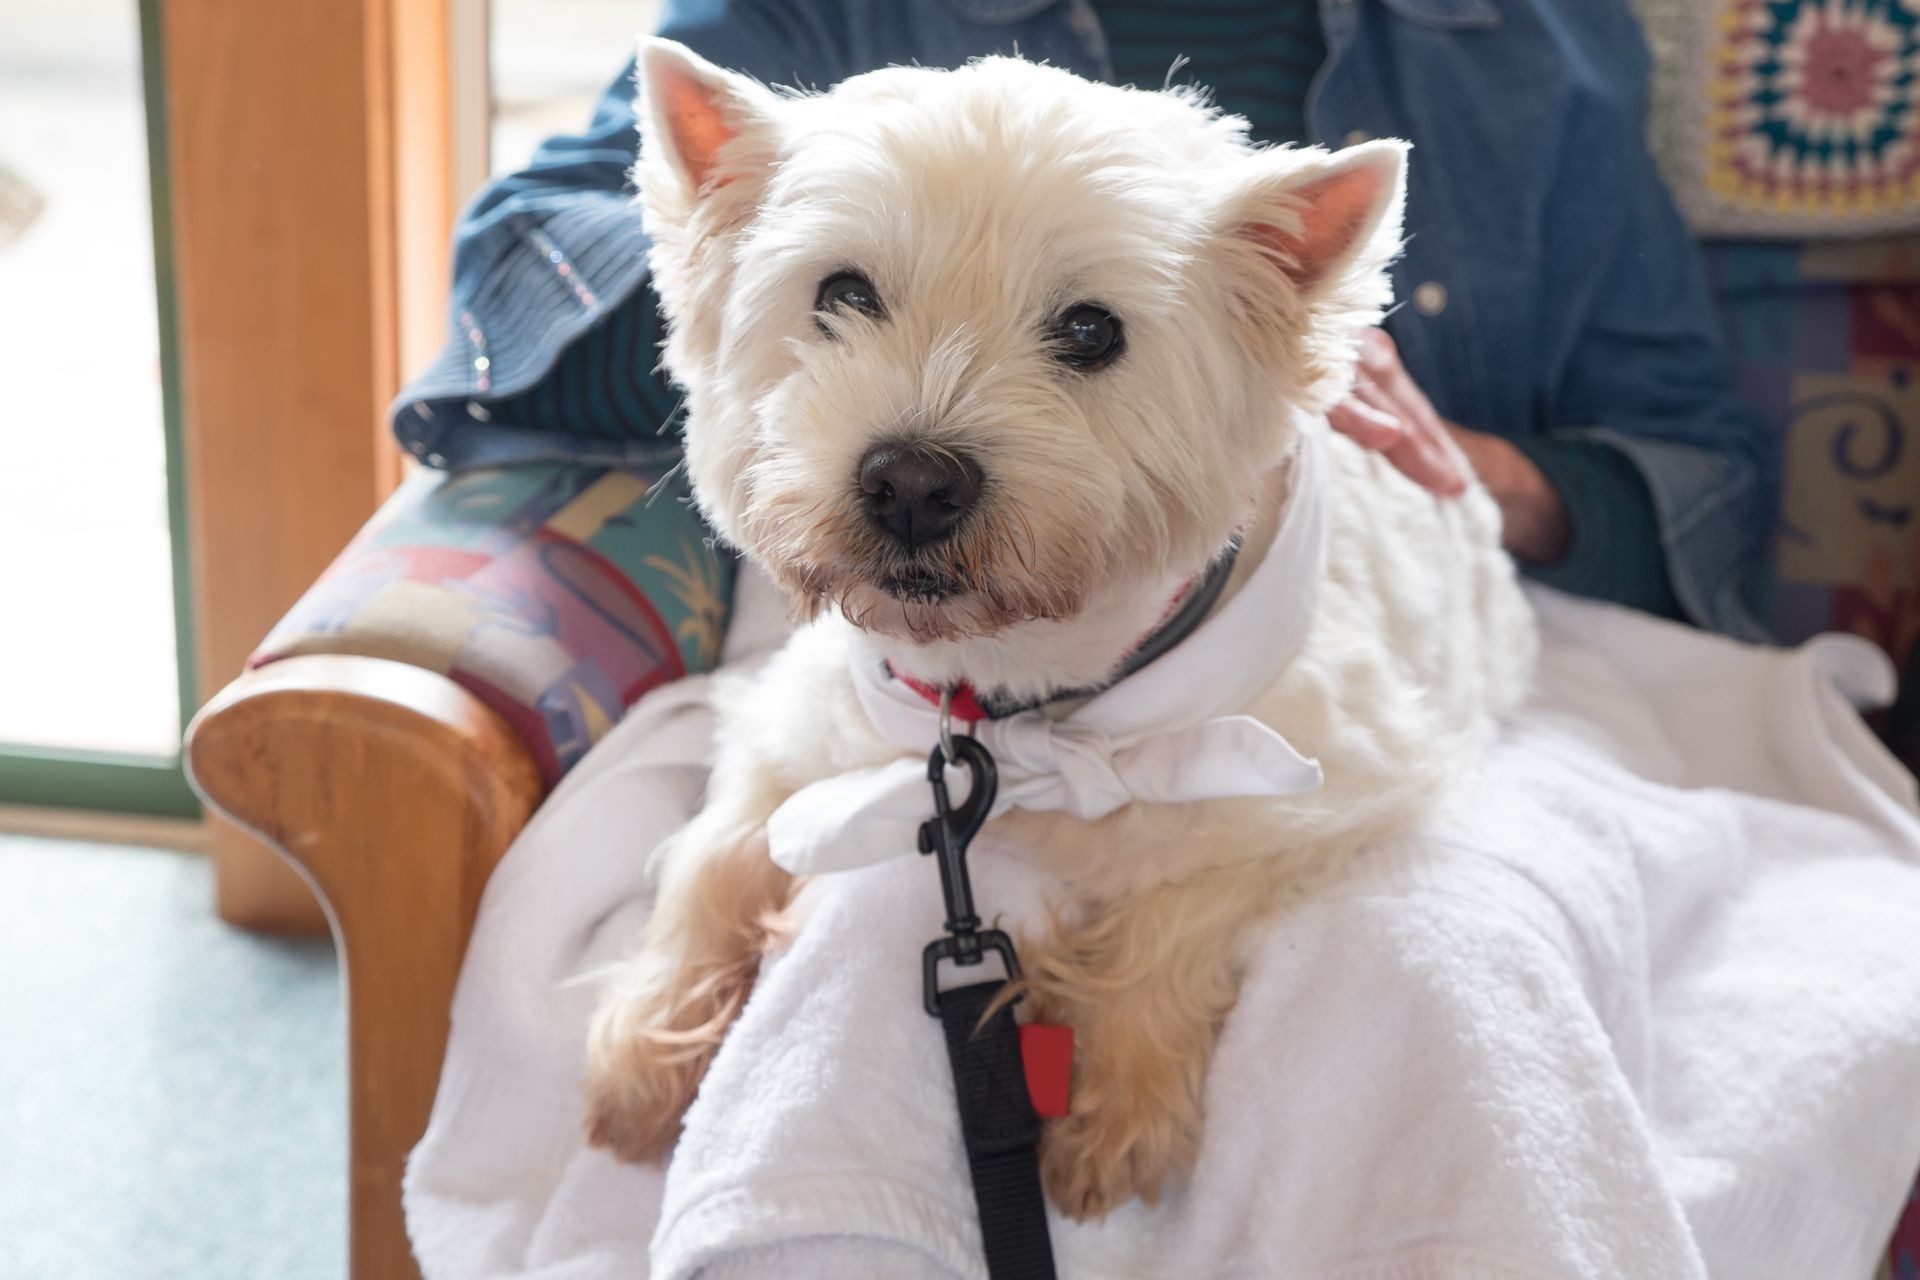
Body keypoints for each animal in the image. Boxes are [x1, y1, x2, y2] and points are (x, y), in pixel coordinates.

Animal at [579, 42, 1528, 1220]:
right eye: (842, 292)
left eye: (1091, 329)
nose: (912, 484)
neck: (1017, 699)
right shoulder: (804, 718)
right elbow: (717, 847)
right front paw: (644, 1042)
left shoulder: (1332, 783)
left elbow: (1181, 899)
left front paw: (1115, 1110)